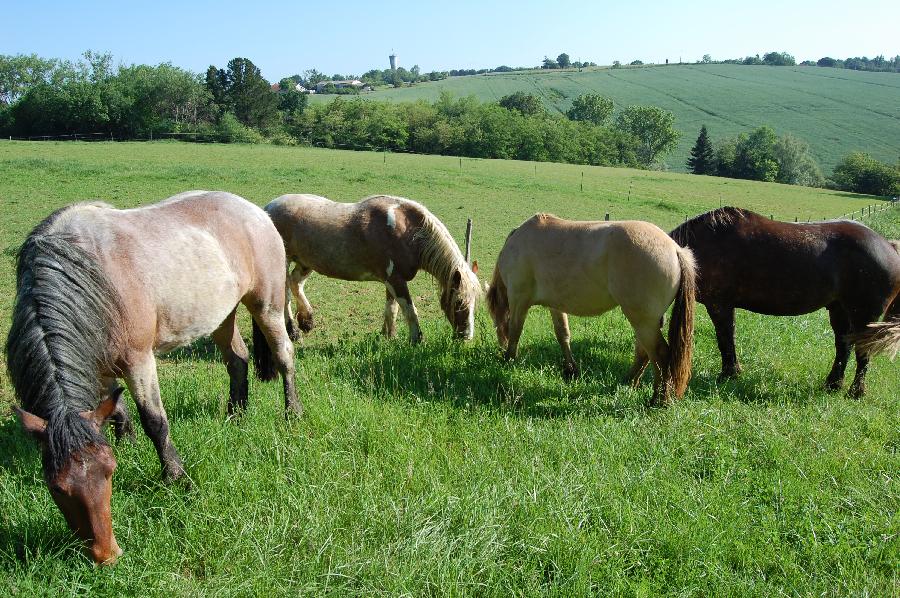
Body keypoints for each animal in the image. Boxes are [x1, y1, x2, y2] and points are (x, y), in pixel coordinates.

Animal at [5, 192, 300, 568]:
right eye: (56, 487)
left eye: (109, 473)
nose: (105, 555)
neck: (84, 272)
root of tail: (255, 210)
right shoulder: (100, 365)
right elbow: (116, 409)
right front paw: (126, 442)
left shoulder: (139, 360)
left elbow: (155, 422)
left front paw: (175, 477)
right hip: (222, 315)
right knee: (237, 360)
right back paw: (236, 415)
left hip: (267, 306)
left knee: (284, 355)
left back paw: (292, 413)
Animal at [264, 195, 482, 344]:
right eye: (459, 302)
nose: (466, 336)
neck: (407, 231)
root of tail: (268, 207)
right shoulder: (396, 280)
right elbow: (410, 310)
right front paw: (416, 339)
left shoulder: (392, 281)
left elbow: (391, 309)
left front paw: (388, 336)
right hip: (285, 261)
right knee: (285, 293)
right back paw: (293, 331)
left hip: (306, 263)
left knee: (296, 284)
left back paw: (307, 320)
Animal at [488, 216, 700, 408]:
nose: (499, 348)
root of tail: (675, 249)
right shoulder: (555, 305)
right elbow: (562, 334)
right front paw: (571, 369)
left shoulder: (518, 299)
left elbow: (515, 331)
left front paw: (508, 360)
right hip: (649, 321)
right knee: (644, 352)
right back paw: (630, 382)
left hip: (643, 321)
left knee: (660, 355)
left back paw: (659, 399)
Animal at [668, 206, 900, 398]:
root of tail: (888, 245)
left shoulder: (719, 305)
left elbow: (725, 339)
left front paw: (728, 374)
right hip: (839, 310)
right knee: (844, 346)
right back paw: (833, 384)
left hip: (864, 315)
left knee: (863, 352)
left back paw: (856, 392)